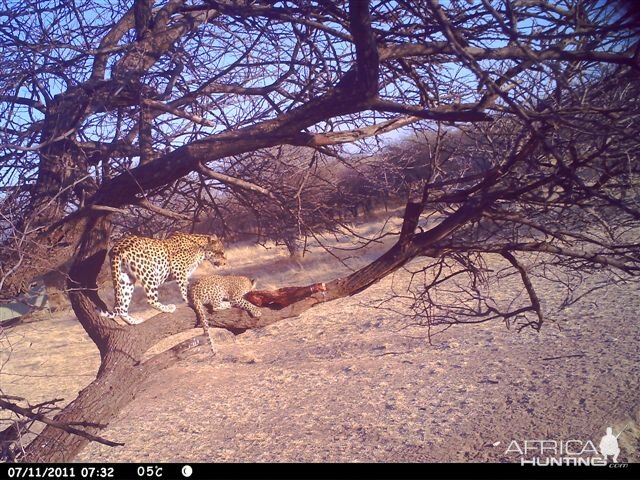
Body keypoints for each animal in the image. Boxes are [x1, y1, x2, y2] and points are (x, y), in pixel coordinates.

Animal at [100, 231, 228, 324]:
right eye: (221, 253)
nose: (224, 263)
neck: (201, 248)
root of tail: (117, 246)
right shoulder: (179, 268)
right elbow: (184, 288)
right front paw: (190, 300)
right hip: (149, 273)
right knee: (151, 300)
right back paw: (168, 308)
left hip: (125, 280)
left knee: (121, 308)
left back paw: (134, 322)